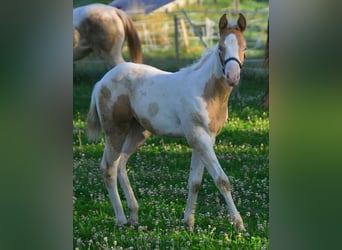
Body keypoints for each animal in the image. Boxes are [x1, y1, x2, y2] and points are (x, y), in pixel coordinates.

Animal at [85, 13, 246, 230]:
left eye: (244, 47)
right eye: (220, 48)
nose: (233, 77)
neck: (206, 91)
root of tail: (101, 82)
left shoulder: (206, 139)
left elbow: (195, 182)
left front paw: (188, 223)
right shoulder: (198, 137)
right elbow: (222, 180)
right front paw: (239, 224)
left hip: (138, 132)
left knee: (120, 163)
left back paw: (134, 215)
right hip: (115, 131)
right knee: (108, 168)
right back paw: (121, 219)